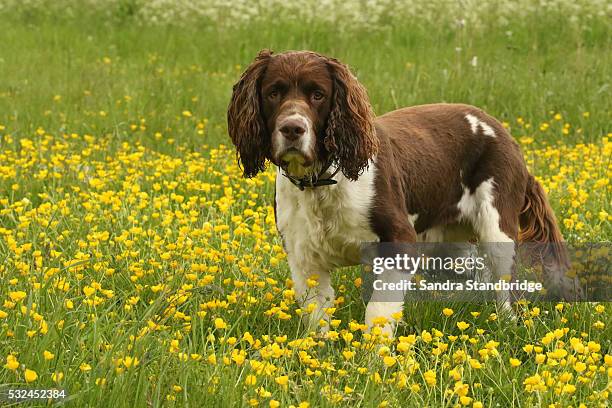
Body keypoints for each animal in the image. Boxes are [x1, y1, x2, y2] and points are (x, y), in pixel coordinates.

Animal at [227, 49, 572, 336]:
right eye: (273, 92)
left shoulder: (398, 240)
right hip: (448, 245)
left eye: (318, 95)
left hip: (496, 227)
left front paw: (374, 362)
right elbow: (317, 312)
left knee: (505, 286)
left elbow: (378, 311)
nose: (292, 129)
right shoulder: (303, 255)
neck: (323, 181)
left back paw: (508, 327)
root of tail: (505, 134)